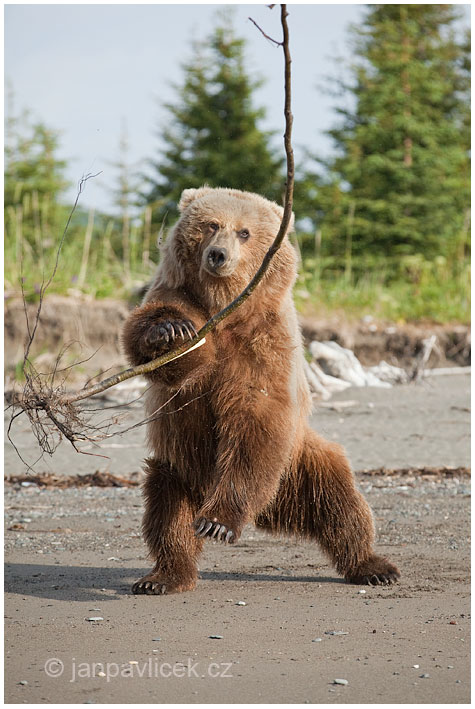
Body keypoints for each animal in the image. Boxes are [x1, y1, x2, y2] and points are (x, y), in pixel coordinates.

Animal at [123, 187, 402, 592]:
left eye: (245, 232)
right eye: (212, 224)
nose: (218, 254)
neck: (227, 308)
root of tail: (270, 508)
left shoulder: (265, 340)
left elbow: (257, 411)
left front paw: (218, 523)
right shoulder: (177, 296)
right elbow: (165, 356)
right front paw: (169, 332)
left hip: (297, 461)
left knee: (339, 499)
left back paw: (374, 566)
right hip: (177, 465)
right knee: (168, 515)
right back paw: (164, 575)